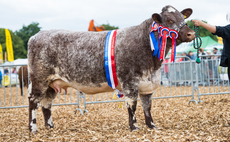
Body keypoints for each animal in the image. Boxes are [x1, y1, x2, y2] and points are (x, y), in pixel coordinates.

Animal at [27, 5, 195, 133]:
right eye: (170, 20)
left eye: (183, 18)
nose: (191, 33)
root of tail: (36, 36)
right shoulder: (130, 81)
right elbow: (132, 105)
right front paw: (134, 127)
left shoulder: (148, 84)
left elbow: (147, 106)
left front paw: (152, 126)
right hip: (39, 79)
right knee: (33, 101)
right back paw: (33, 128)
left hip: (52, 83)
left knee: (46, 104)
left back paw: (50, 127)